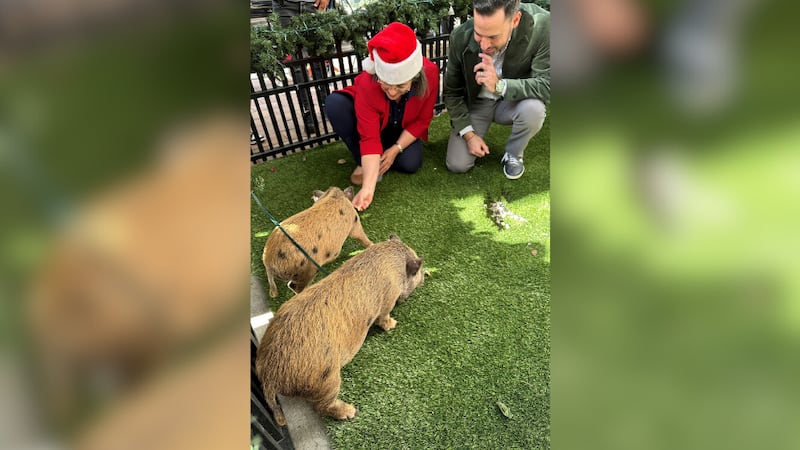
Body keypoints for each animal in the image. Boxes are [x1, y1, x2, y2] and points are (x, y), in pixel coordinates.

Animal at [256, 236, 424, 426]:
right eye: (418, 269)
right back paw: (351, 411)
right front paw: (393, 324)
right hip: (326, 379)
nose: (425, 276)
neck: (395, 266)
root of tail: (269, 374)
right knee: (322, 406)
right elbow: (384, 318)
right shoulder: (388, 301)